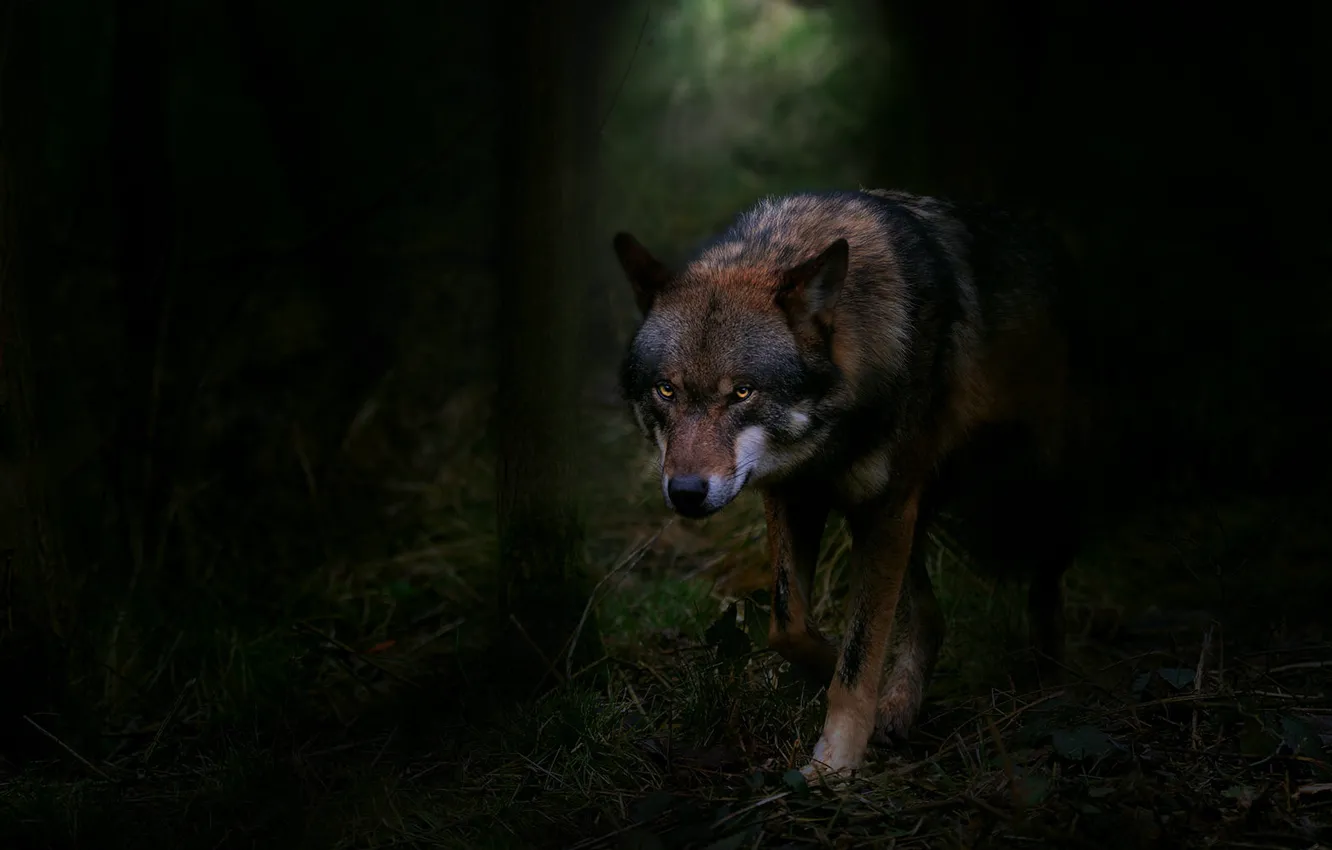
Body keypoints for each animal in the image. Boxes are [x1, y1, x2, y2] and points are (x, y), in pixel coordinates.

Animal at [613, 188, 1088, 779]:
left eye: (742, 392)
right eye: (666, 391)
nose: (685, 492)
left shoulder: (886, 507)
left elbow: (860, 656)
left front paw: (835, 762)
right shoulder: (794, 495)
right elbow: (789, 625)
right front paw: (832, 672)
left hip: (1030, 492)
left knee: (1044, 585)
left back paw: (1052, 690)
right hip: (902, 521)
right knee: (930, 617)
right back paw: (899, 708)